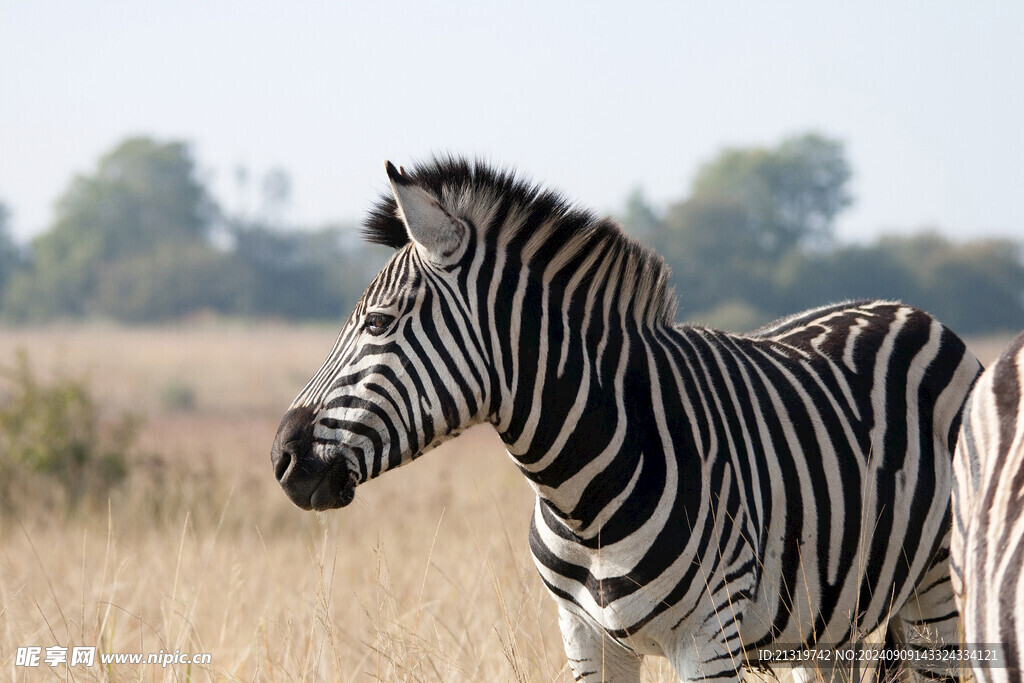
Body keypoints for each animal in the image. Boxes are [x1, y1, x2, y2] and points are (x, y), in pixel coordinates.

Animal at [272, 156, 983, 683]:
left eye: (377, 324)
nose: (282, 457)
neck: (584, 494)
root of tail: (909, 310)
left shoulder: (709, 640)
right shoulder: (585, 636)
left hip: (936, 594)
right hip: (827, 622)